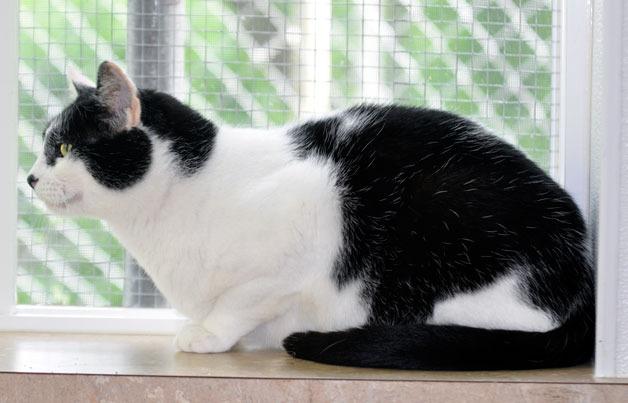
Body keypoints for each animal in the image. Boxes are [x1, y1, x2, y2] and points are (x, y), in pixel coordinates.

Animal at [25, 60, 592, 370]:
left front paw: (209, 334)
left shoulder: (310, 211)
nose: (28, 178)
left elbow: (242, 299)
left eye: (63, 147)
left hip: (444, 212)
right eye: (45, 147)